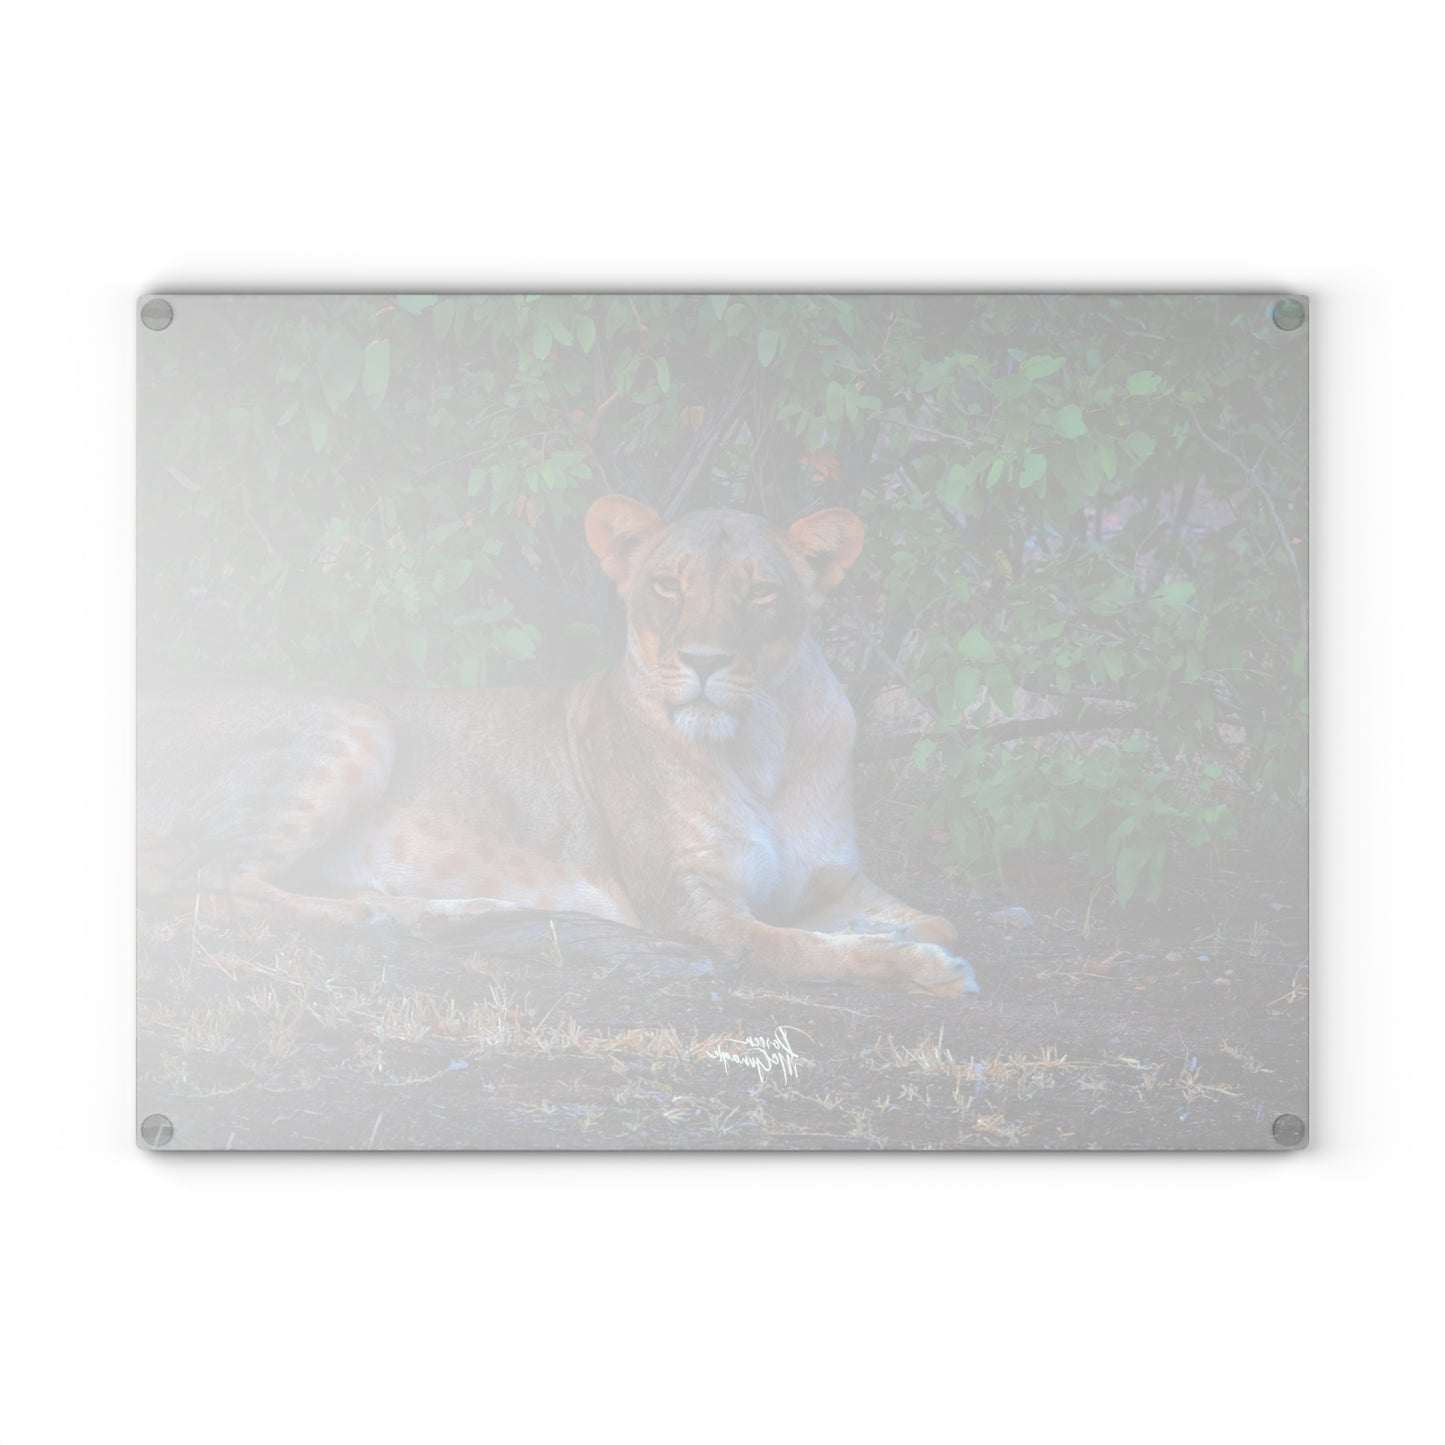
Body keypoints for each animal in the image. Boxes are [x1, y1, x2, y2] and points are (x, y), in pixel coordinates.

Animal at [137, 496, 977, 996]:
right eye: (667, 586)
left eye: (760, 591)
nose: (704, 661)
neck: (761, 741)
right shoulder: (689, 906)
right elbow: (803, 949)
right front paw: (921, 967)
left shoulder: (835, 881)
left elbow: (933, 918)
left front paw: (910, 934)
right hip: (359, 719)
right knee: (201, 883)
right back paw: (385, 914)